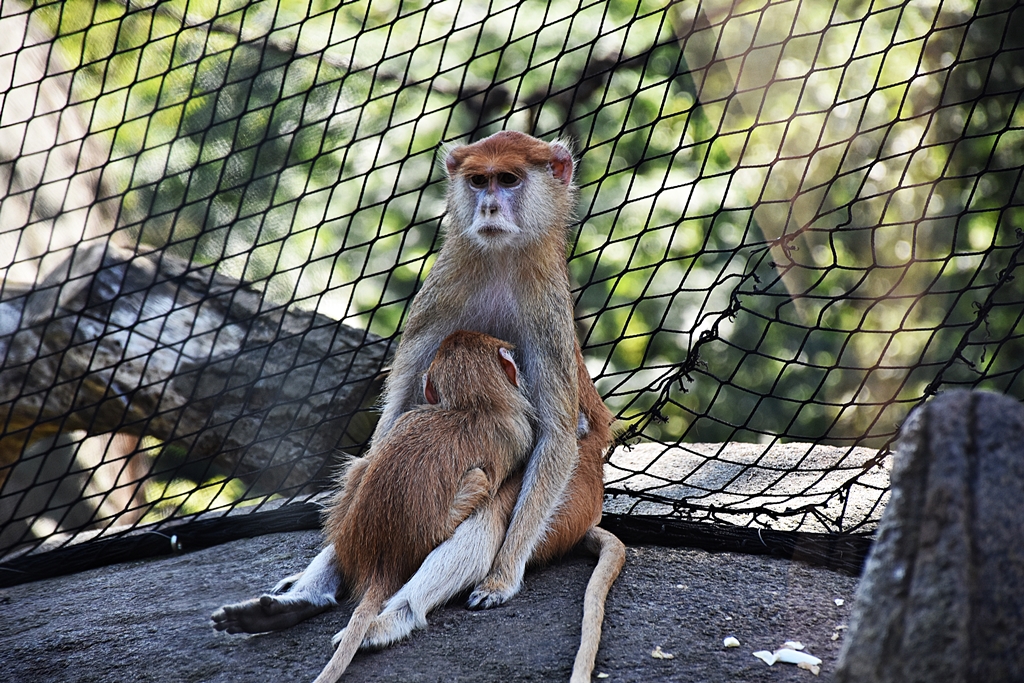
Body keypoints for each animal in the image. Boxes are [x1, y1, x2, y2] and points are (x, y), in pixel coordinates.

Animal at [311, 330, 534, 682]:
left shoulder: (412, 415)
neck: (471, 407)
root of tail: (381, 557)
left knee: (360, 467)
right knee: (480, 480)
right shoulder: (516, 434)